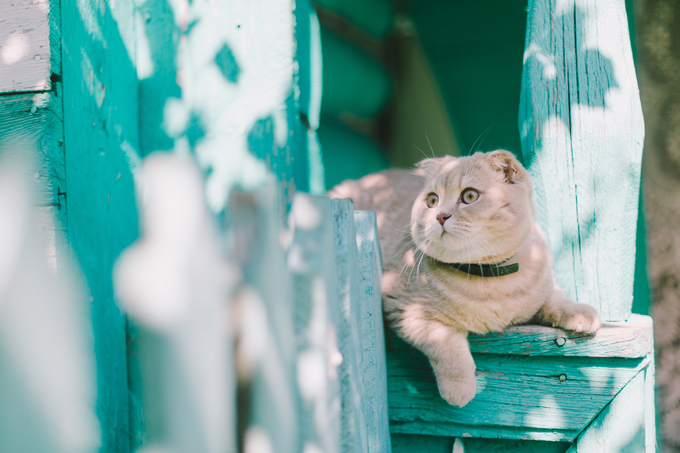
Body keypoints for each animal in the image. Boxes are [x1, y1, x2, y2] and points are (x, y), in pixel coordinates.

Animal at [330, 149, 600, 406]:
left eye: (470, 196)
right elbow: (444, 345)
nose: (440, 216)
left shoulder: (546, 286)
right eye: (432, 200)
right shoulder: (405, 310)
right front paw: (459, 389)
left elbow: (557, 300)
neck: (490, 279)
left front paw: (580, 314)